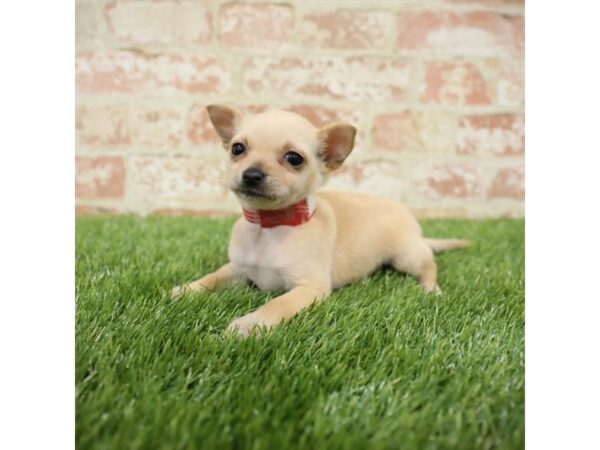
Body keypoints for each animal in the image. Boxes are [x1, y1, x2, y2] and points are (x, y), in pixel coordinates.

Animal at [171, 105, 472, 336]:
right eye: (237, 148)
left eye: (294, 158)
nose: (251, 174)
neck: (270, 225)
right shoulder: (237, 269)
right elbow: (212, 277)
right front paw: (185, 290)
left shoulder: (309, 288)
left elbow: (277, 305)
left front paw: (250, 324)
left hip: (407, 255)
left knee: (429, 265)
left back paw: (431, 289)